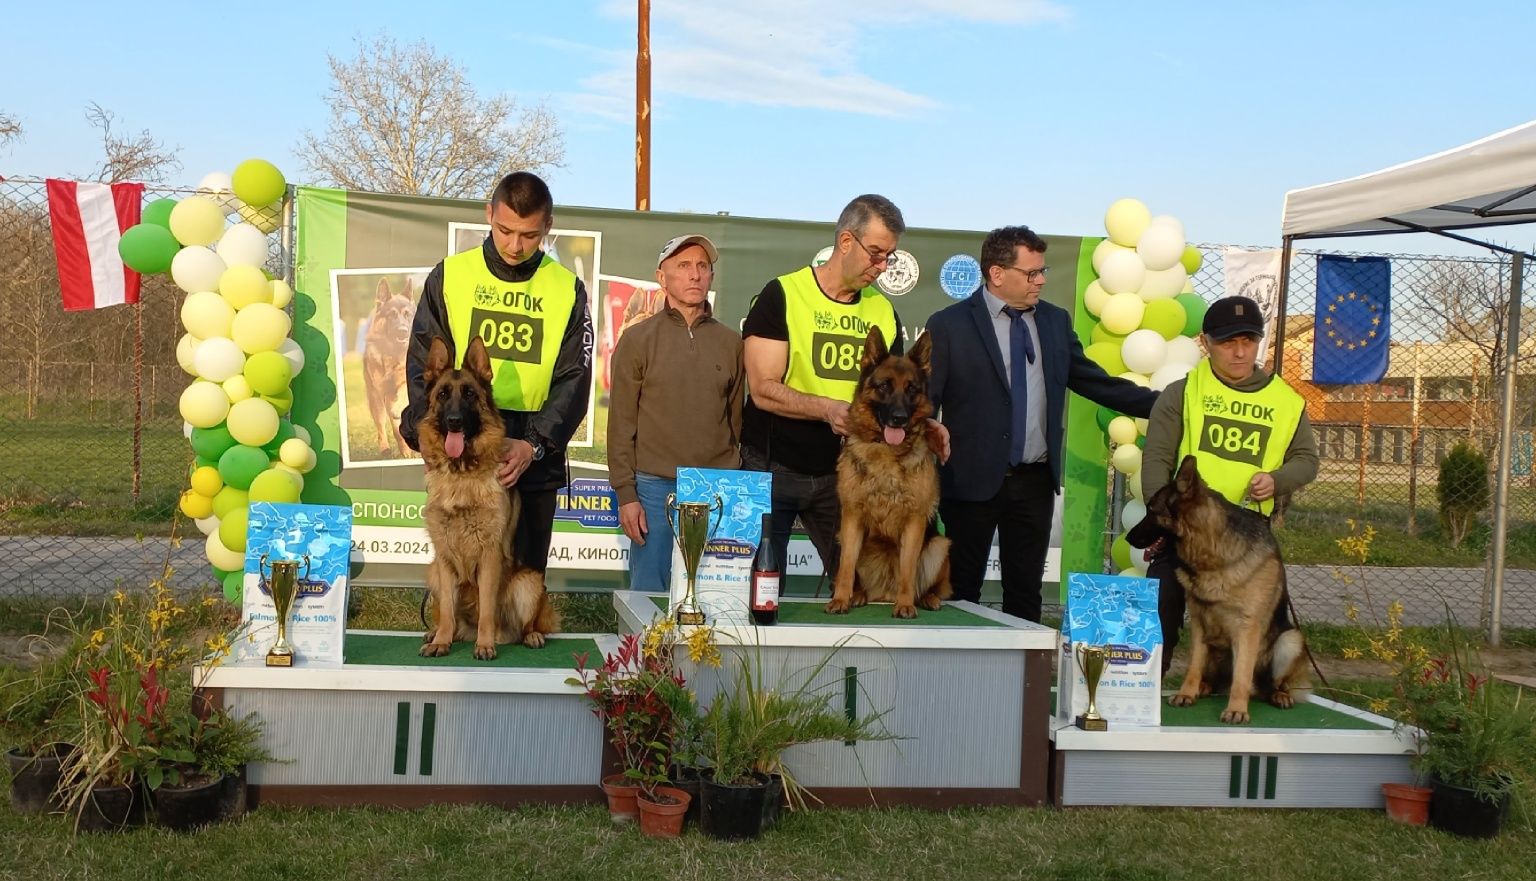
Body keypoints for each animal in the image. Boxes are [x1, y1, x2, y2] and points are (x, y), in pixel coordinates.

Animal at [364, 279, 417, 460]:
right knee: (382, 428)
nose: (403, 331)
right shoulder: (384, 392)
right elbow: (395, 429)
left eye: (408, 315)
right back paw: (386, 448)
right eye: (392, 315)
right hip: (376, 402)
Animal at [417, 334, 562, 659]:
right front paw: (442, 641)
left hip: (529, 582)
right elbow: (447, 610)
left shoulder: (490, 556)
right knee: (450, 617)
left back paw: (528, 636)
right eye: (443, 394)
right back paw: (439, 633)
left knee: (527, 624)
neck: (462, 474)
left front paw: (485, 645)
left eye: (470, 394)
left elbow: (486, 609)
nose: (454, 421)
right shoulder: (444, 558)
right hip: (432, 572)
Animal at [829, 326, 946, 620]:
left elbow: (908, 569)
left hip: (939, 546)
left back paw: (925, 598)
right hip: (845, 538)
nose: (899, 418)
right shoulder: (852, 517)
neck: (886, 452)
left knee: (928, 584)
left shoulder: (914, 522)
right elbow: (845, 568)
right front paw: (841, 599)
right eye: (884, 386)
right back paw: (858, 595)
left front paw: (905, 605)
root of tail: (883, 594)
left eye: (911, 389)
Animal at [1130, 454, 1308, 724]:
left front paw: (1236, 709)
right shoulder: (1199, 624)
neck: (1214, 556)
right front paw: (1186, 693)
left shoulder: (1247, 629)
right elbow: (1193, 667)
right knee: (1213, 679)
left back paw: (1278, 695)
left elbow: (1241, 676)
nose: (1128, 537)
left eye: (1151, 510)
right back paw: (1203, 687)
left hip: (1290, 640)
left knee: (1268, 683)